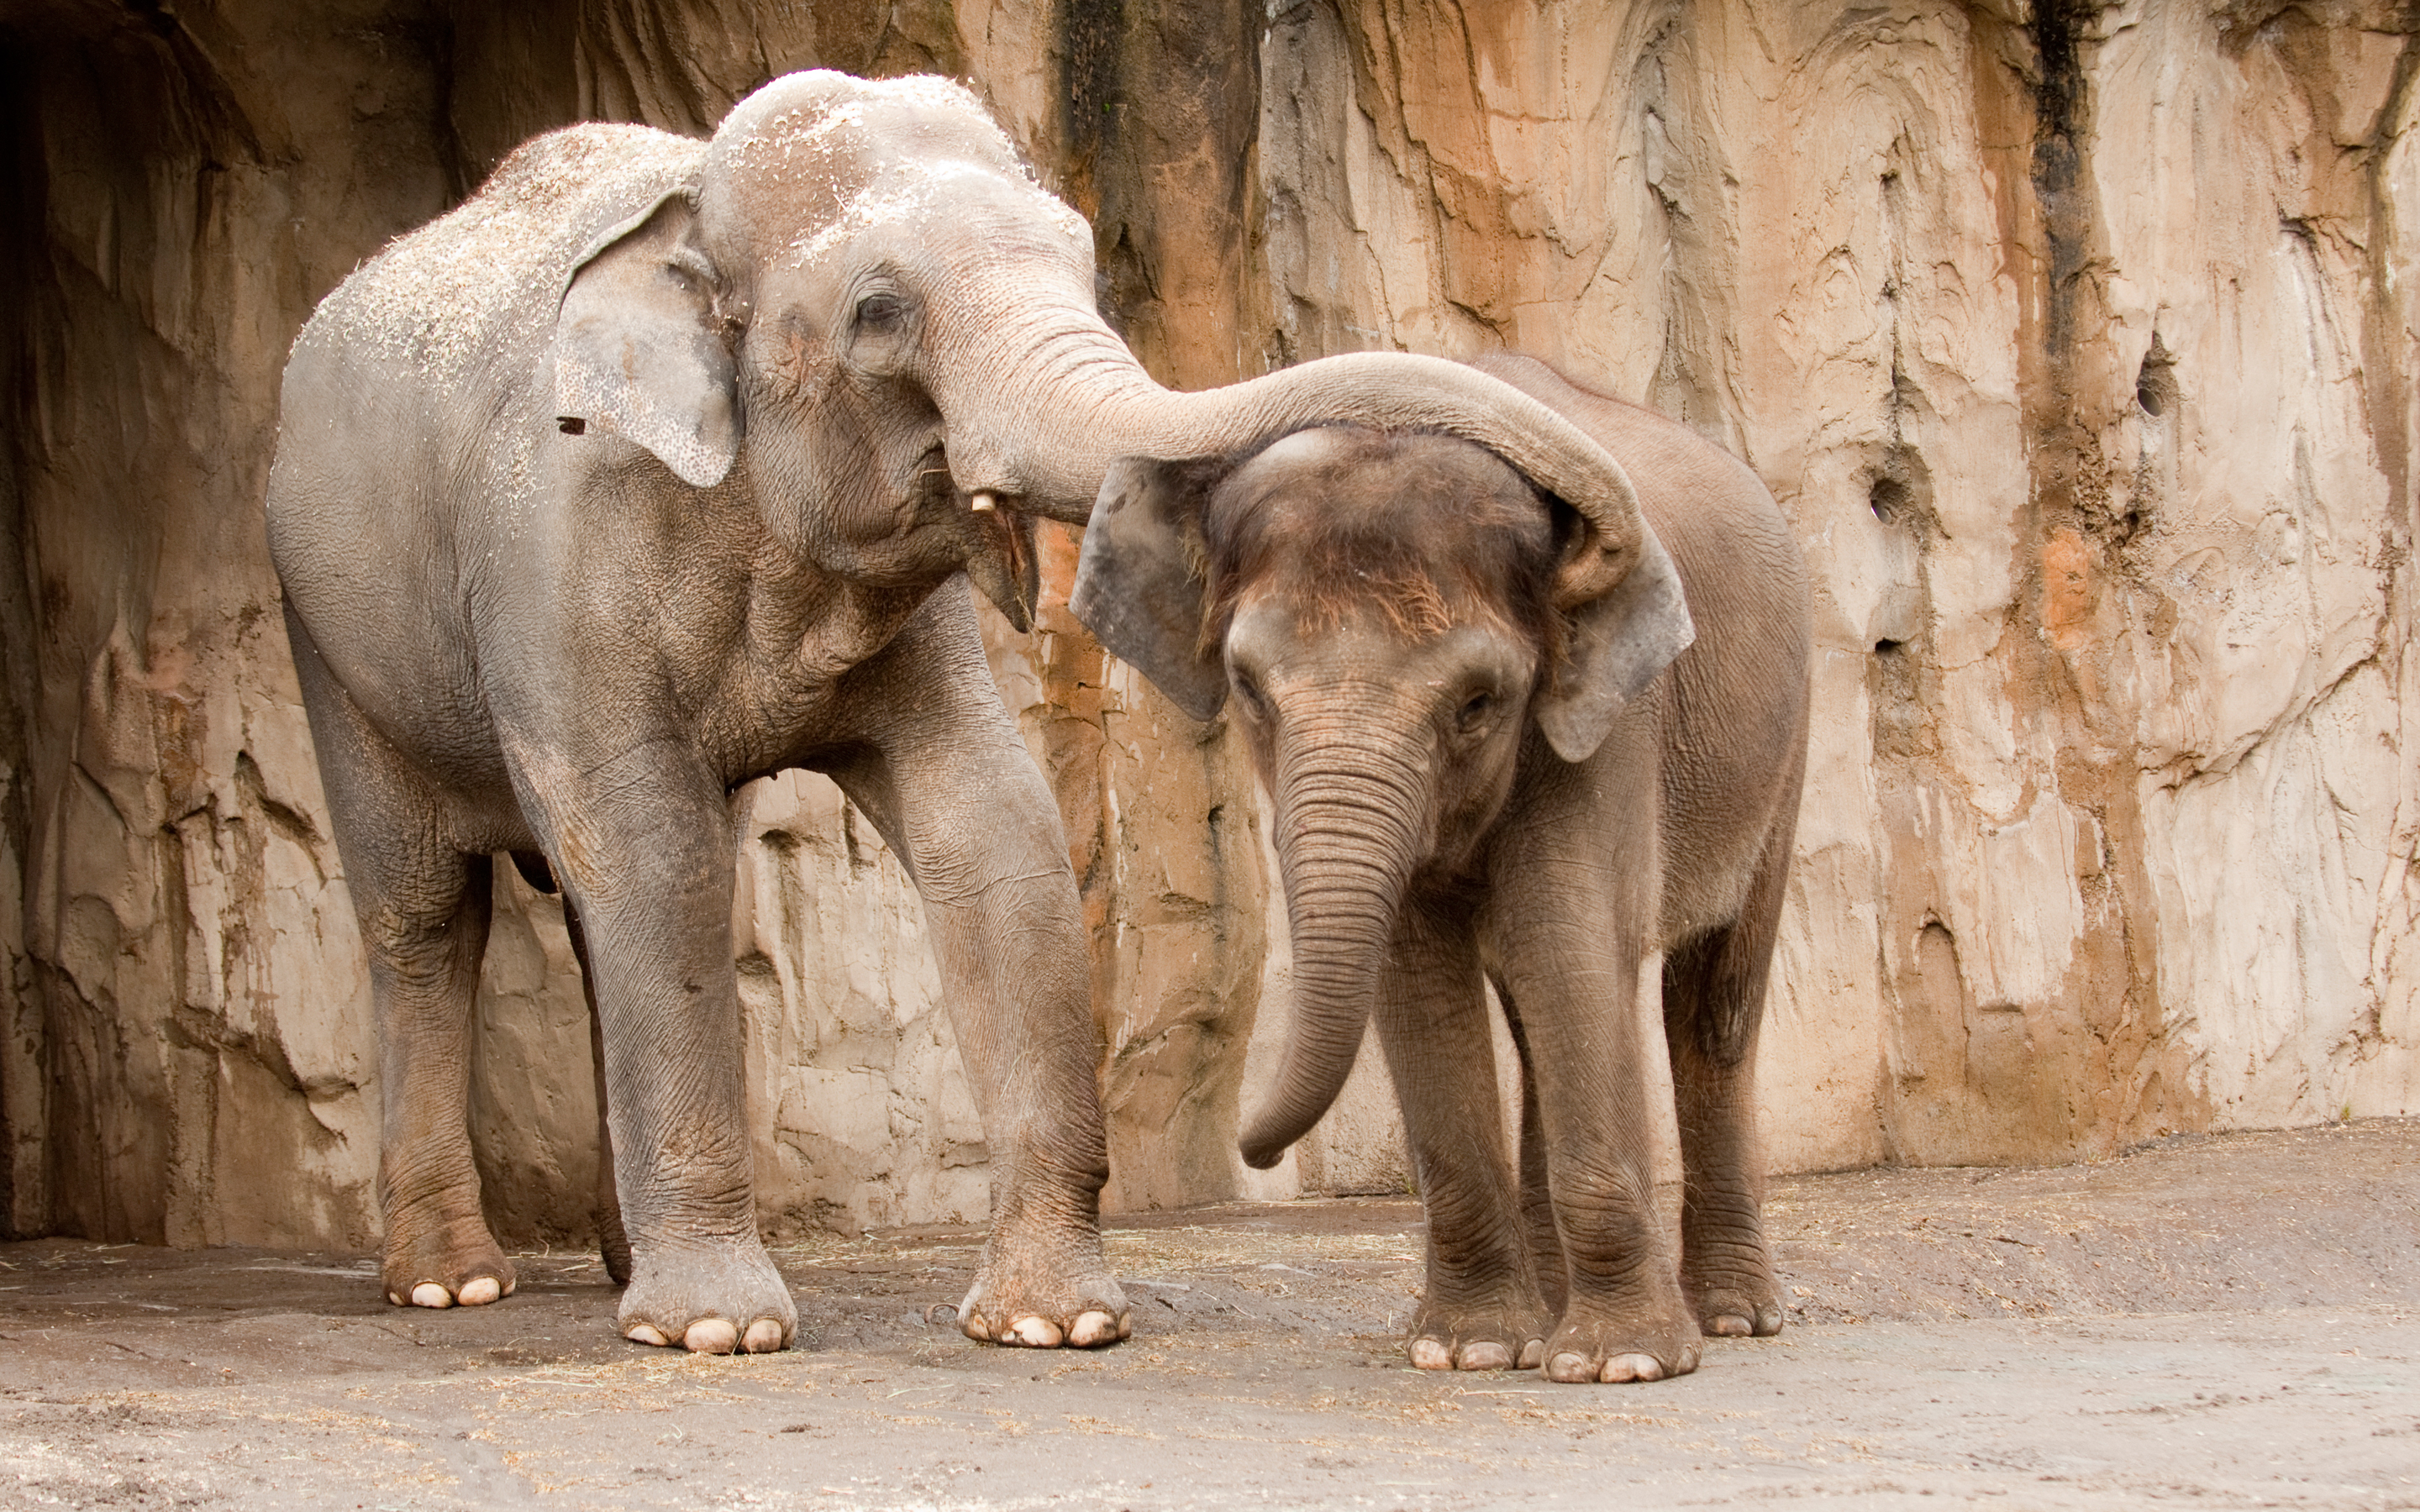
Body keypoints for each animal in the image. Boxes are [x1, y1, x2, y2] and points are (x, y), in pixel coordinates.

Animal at [265, 71, 1645, 1354]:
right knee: (429, 917)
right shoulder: (560, 546)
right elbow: (648, 849)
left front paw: (1052, 1324)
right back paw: (452, 1282)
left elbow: (991, 830)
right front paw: (718, 1332)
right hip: (323, 626)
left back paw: (613, 1270)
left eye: (1087, 262)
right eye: (881, 315)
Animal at [1069, 353, 1810, 1383]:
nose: (1250, 1152)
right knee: (1538, 1020)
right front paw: (1472, 1350)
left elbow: (1571, 948)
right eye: (1248, 687)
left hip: (1783, 743)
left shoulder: (1609, 722)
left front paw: (1620, 1364)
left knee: (1713, 999)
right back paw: (1554, 1314)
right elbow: (1421, 974)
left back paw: (1736, 1317)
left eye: (1478, 704)